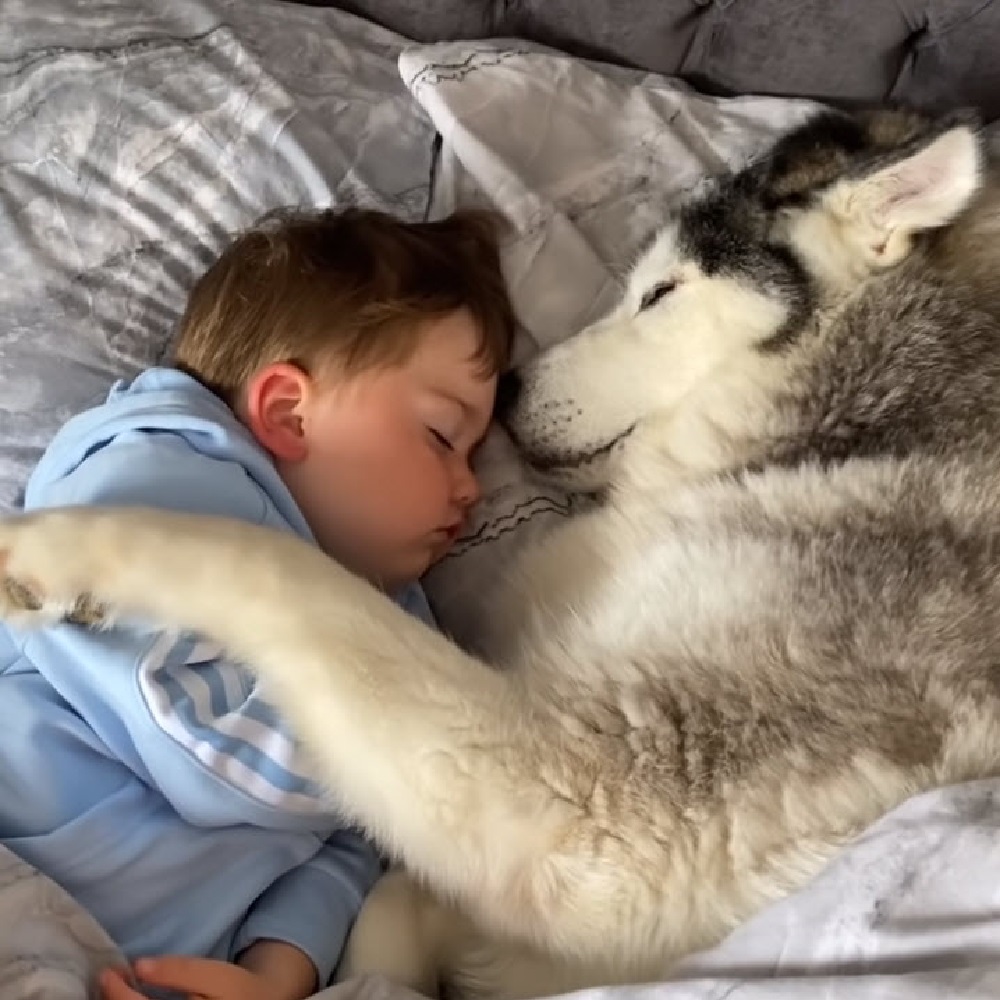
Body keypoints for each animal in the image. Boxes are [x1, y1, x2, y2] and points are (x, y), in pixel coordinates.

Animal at [1, 105, 1000, 996]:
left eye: (663, 293)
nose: (511, 388)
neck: (869, 424)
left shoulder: (579, 804)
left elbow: (271, 567)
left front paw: (53, 552)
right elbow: (393, 911)